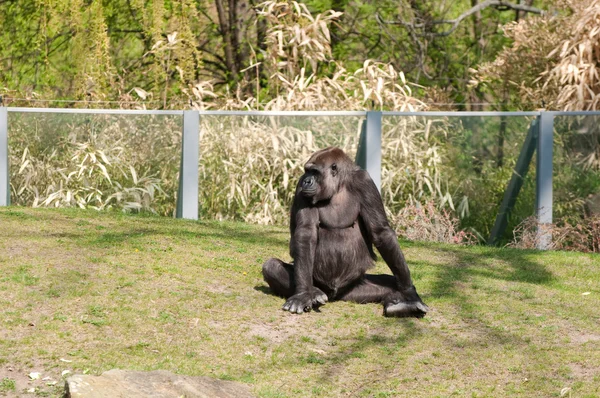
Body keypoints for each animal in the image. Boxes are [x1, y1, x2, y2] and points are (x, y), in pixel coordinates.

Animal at [262, 146, 426, 318]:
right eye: (307, 172)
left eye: (314, 172)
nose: (307, 181)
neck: (339, 186)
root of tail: (335, 295)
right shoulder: (301, 187)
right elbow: (306, 233)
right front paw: (303, 293)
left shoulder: (365, 182)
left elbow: (380, 232)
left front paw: (409, 292)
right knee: (272, 267)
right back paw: (314, 293)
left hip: (353, 291)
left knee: (390, 283)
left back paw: (399, 304)